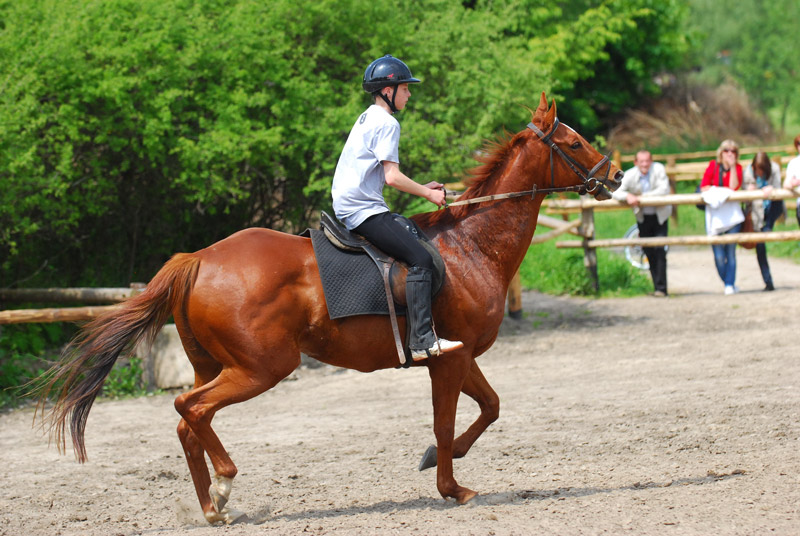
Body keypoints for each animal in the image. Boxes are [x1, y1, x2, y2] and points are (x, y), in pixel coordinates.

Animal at [36, 92, 624, 524]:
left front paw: (440, 462)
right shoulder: (446, 359)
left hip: (214, 363)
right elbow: (447, 421)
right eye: (573, 140)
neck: (470, 245)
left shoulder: (458, 355)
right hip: (263, 367)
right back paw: (225, 481)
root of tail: (199, 259)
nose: (615, 176)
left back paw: (212, 506)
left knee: (187, 422)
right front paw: (451, 487)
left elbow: (491, 407)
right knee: (192, 409)